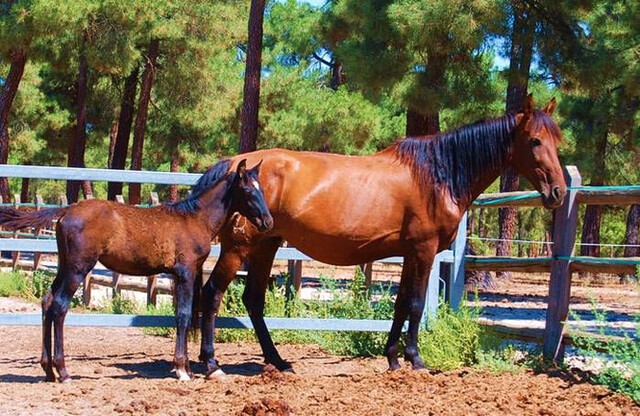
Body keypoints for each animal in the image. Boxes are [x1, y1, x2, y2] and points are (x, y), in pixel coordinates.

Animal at [0, 161, 272, 382]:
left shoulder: (181, 274)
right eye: (249, 190)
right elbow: (184, 315)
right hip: (78, 269)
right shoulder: (185, 272)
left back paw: (48, 370)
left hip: (65, 267)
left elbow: (181, 315)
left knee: (47, 301)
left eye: (262, 189)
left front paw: (187, 368)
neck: (193, 219)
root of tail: (66, 211)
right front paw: (182, 370)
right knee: (59, 307)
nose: (268, 221)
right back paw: (64, 372)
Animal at [196, 95, 564, 376]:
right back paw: (211, 363)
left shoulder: (409, 254)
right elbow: (416, 304)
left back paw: (277, 361)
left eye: (556, 141)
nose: (558, 192)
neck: (437, 175)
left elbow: (401, 304)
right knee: (212, 293)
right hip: (238, 247)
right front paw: (416, 360)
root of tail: (233, 163)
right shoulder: (424, 251)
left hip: (266, 245)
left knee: (253, 300)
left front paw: (393, 359)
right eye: (534, 140)